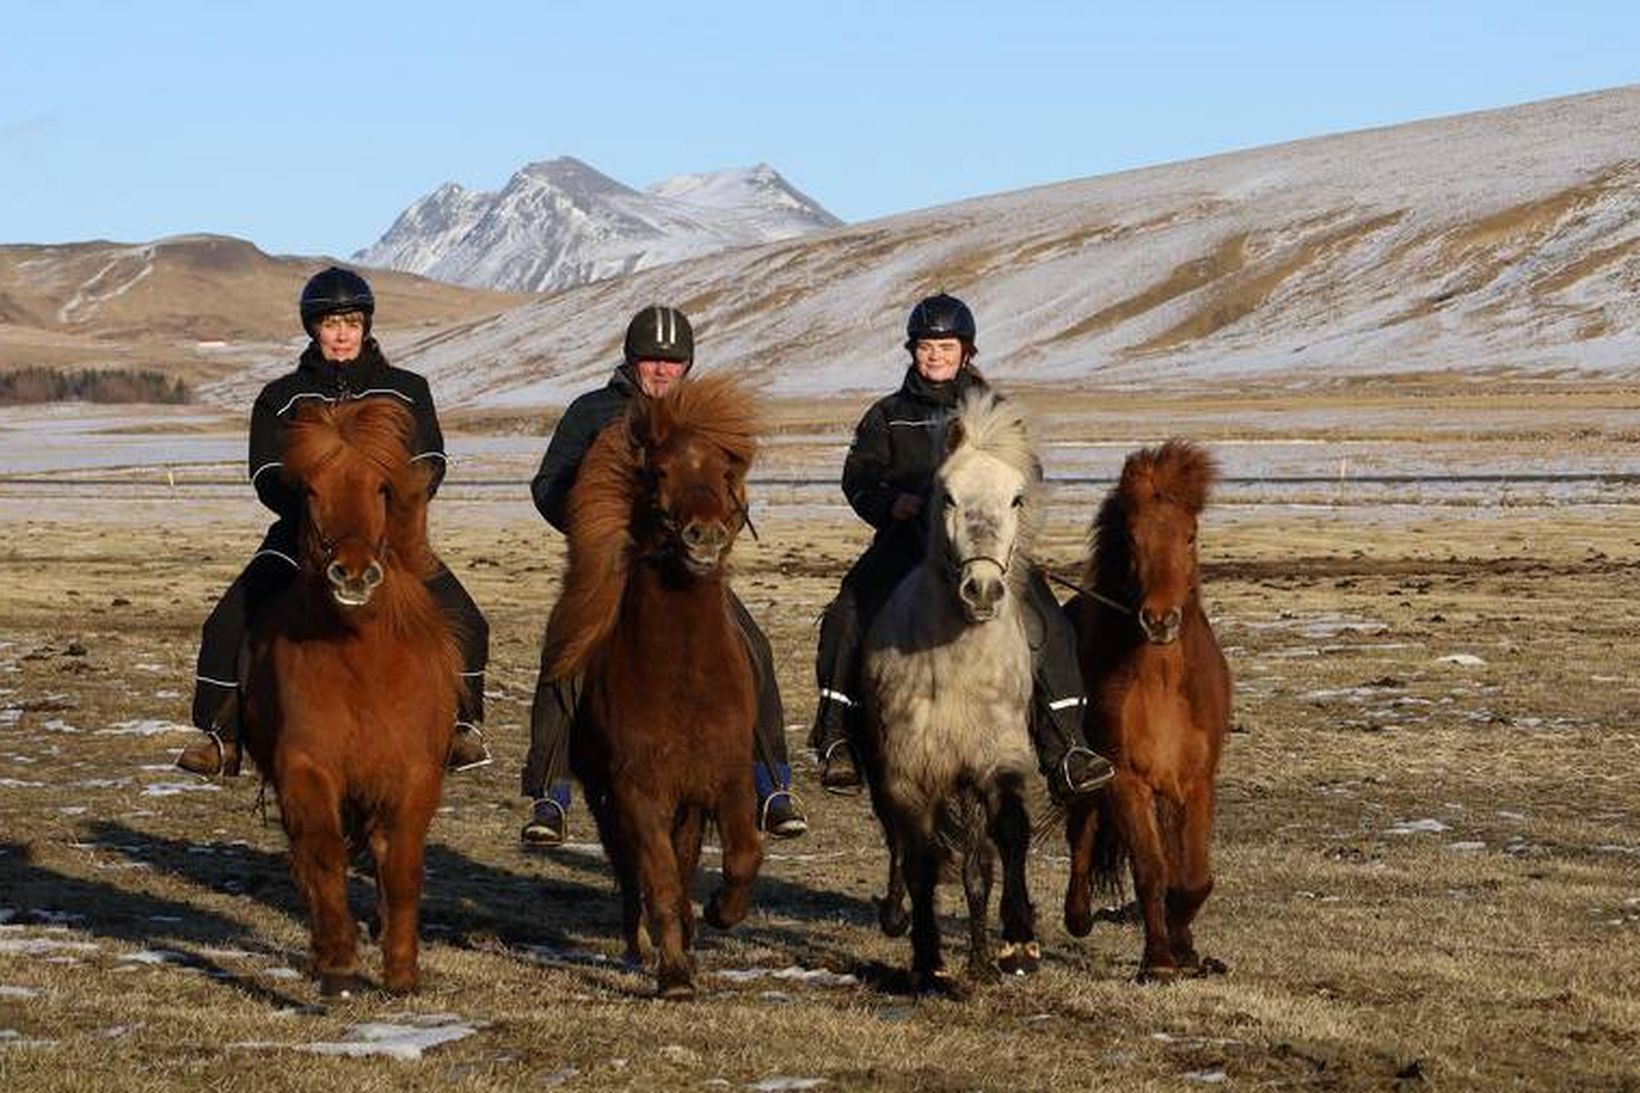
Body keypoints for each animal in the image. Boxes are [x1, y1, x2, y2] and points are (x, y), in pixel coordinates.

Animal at [237, 398, 459, 997]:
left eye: (382, 488)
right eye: (311, 490)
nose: (354, 574)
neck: (361, 660)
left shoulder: (414, 774)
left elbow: (401, 865)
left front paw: (402, 972)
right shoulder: (305, 766)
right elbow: (323, 853)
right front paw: (337, 961)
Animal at [541, 372, 764, 997]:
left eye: (725, 471)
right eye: (659, 472)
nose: (704, 536)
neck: (684, 675)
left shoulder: (727, 778)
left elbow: (742, 854)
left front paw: (719, 914)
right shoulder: (637, 790)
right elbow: (658, 878)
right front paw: (674, 974)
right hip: (607, 795)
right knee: (629, 867)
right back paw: (640, 944)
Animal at [1062, 439, 1233, 984]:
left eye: (1190, 536)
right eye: (1133, 540)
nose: (1159, 621)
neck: (1162, 683)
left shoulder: (1196, 782)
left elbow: (1193, 876)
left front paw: (1185, 948)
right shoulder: (1126, 779)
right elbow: (1151, 869)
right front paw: (1158, 960)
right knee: (1082, 833)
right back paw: (1077, 917)